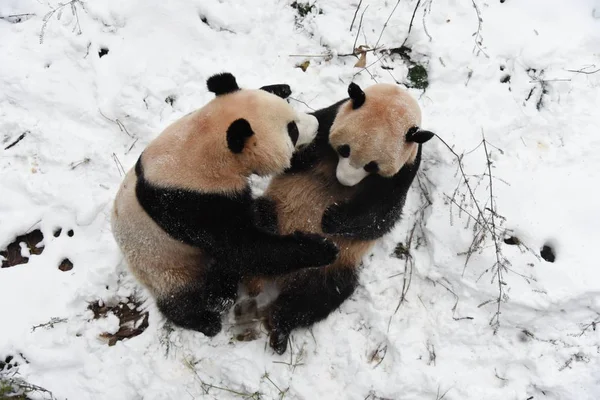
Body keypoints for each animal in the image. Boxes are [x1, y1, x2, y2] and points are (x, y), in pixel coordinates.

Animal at [110, 72, 340, 338]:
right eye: (292, 131)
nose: (315, 124)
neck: (202, 141)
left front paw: (280, 87)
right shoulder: (191, 202)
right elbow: (243, 247)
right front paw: (322, 248)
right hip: (162, 262)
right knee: (183, 296)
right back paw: (208, 315)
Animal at [239, 81, 436, 354]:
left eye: (372, 166)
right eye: (345, 149)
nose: (344, 180)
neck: (395, 100)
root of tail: (279, 275)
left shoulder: (406, 167)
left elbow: (382, 214)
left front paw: (330, 218)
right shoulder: (328, 119)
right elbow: (293, 156)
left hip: (332, 267)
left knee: (320, 297)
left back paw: (279, 329)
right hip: (277, 211)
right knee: (254, 224)